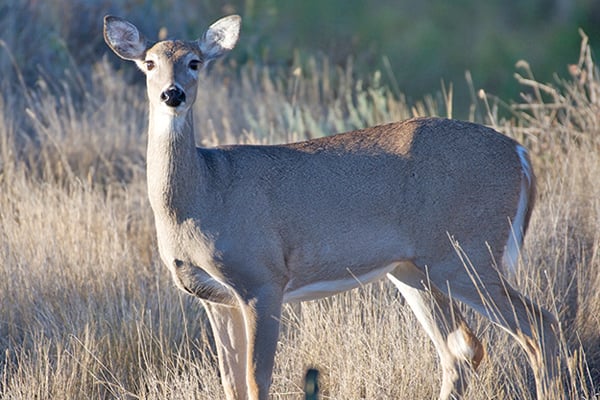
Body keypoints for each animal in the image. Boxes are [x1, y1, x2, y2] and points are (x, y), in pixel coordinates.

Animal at [105, 14, 560, 400]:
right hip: (414, 269)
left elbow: (257, 379)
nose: (172, 94)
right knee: (462, 349)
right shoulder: (215, 298)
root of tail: (520, 155)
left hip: (468, 252)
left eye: (195, 62)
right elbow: (231, 383)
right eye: (149, 63)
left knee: (538, 327)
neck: (202, 194)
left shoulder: (262, 278)